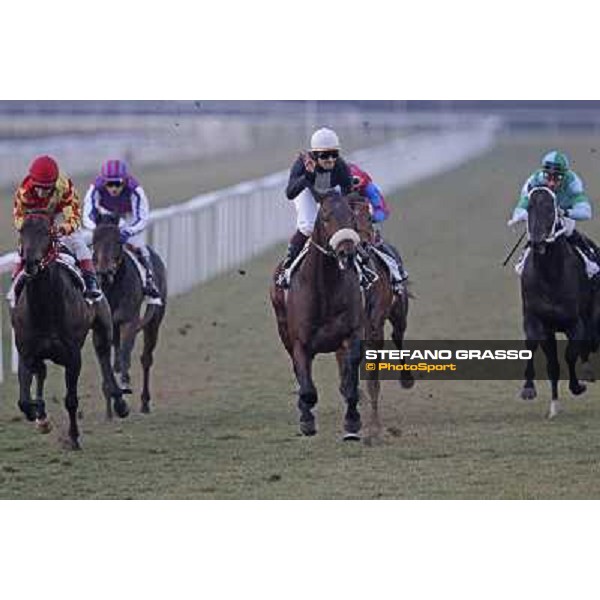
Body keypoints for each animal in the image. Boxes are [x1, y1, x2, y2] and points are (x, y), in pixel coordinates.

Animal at [10, 213, 129, 448]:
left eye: (46, 232)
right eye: (22, 231)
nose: (30, 262)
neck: (44, 308)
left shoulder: (73, 355)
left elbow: (71, 400)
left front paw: (73, 438)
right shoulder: (26, 352)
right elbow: (24, 401)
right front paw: (40, 416)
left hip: (103, 327)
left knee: (104, 357)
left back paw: (119, 401)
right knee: (41, 372)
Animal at [92, 213, 166, 414]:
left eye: (118, 240)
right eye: (94, 240)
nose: (104, 271)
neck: (112, 288)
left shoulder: (129, 321)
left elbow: (125, 353)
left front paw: (123, 386)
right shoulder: (100, 329)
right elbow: (106, 364)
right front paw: (116, 399)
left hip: (154, 321)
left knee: (145, 358)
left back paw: (145, 402)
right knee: (116, 360)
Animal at [272, 192, 366, 440]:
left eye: (352, 216)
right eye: (325, 217)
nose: (347, 253)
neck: (325, 288)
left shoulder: (352, 334)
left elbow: (350, 382)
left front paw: (352, 421)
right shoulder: (300, 343)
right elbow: (307, 390)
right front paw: (306, 419)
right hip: (284, 332)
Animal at [520, 186, 592, 418]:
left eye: (551, 210)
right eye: (529, 208)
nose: (538, 241)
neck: (550, 275)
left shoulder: (575, 323)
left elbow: (570, 354)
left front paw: (577, 386)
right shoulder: (537, 320)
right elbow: (535, 346)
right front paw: (528, 389)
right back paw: (553, 407)